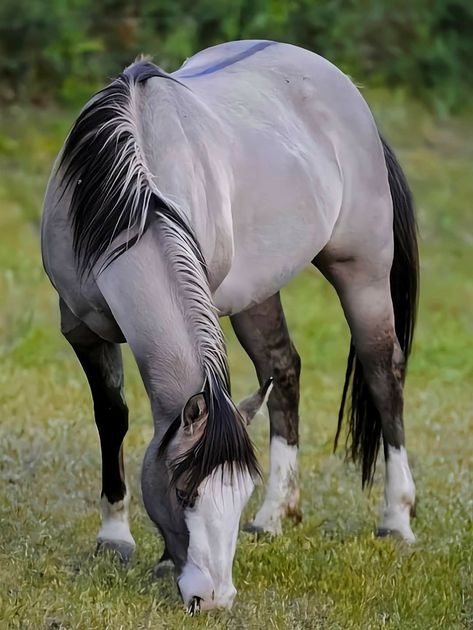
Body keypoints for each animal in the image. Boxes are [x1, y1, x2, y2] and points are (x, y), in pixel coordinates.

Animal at [40, 38, 416, 612]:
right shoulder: (81, 328)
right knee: (284, 370)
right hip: (256, 293)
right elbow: (113, 418)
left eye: (236, 495)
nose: (213, 598)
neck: (131, 198)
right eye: (183, 490)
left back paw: (396, 519)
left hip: (363, 272)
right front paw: (114, 537)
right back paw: (276, 515)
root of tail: (346, 90)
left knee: (382, 374)